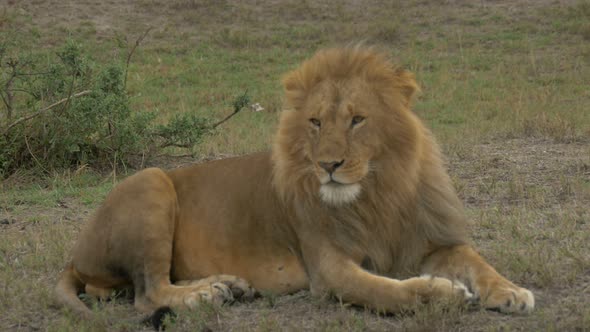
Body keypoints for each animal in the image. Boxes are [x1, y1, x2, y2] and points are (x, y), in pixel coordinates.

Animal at [55, 45, 536, 318]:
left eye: (358, 120)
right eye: (315, 122)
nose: (329, 164)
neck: (379, 192)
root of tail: (73, 256)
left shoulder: (432, 242)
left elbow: (477, 262)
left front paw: (511, 292)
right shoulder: (329, 269)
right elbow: (389, 292)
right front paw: (446, 295)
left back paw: (227, 285)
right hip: (151, 181)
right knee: (148, 293)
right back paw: (204, 297)